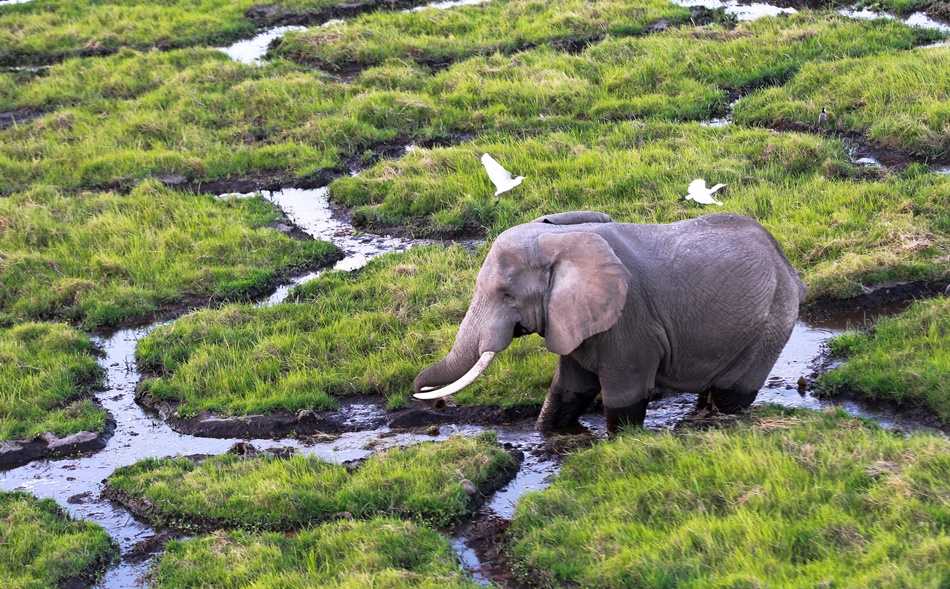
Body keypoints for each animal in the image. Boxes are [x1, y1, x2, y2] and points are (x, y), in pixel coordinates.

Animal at [412, 211, 808, 432]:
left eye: (507, 295)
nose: (433, 402)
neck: (558, 240)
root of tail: (787, 264)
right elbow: (569, 390)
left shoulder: (630, 320)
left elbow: (624, 396)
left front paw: (622, 441)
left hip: (772, 322)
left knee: (731, 394)